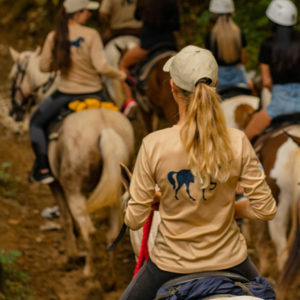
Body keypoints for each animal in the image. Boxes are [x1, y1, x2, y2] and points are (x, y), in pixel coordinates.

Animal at [8, 47, 135, 296]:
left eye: (13, 77)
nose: (13, 111)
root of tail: (106, 129)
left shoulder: (56, 184)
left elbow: (66, 218)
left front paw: (71, 257)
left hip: (75, 190)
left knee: (90, 230)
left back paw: (90, 277)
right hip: (117, 191)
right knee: (111, 232)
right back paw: (109, 279)